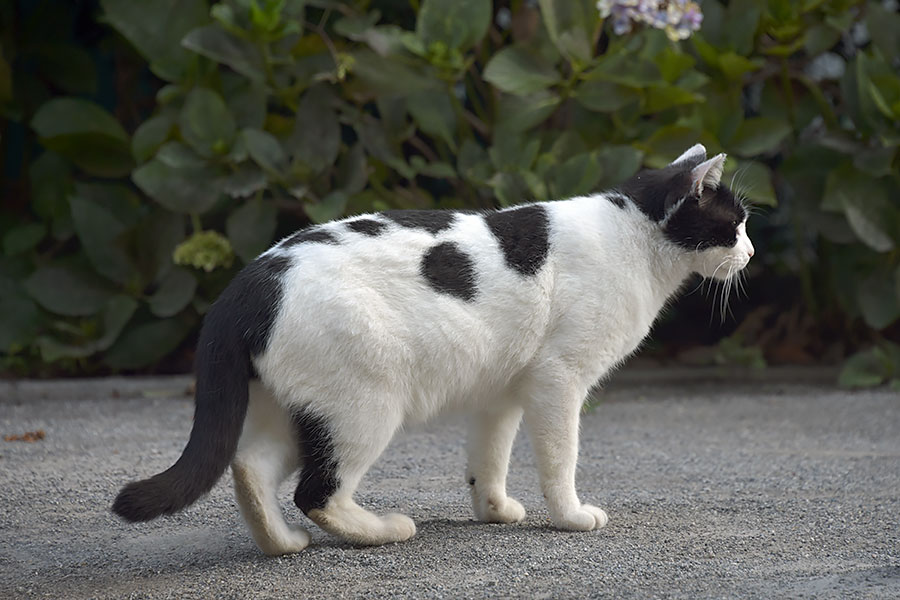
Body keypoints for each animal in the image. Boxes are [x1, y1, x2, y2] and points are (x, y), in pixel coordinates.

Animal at [112, 143, 752, 556]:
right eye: (736, 224)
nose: (749, 254)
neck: (633, 238)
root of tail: (253, 277)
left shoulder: (502, 394)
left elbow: (488, 460)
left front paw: (493, 512)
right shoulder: (559, 382)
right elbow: (560, 460)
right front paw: (570, 517)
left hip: (295, 410)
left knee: (249, 467)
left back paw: (282, 546)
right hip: (364, 408)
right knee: (316, 491)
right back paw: (385, 529)